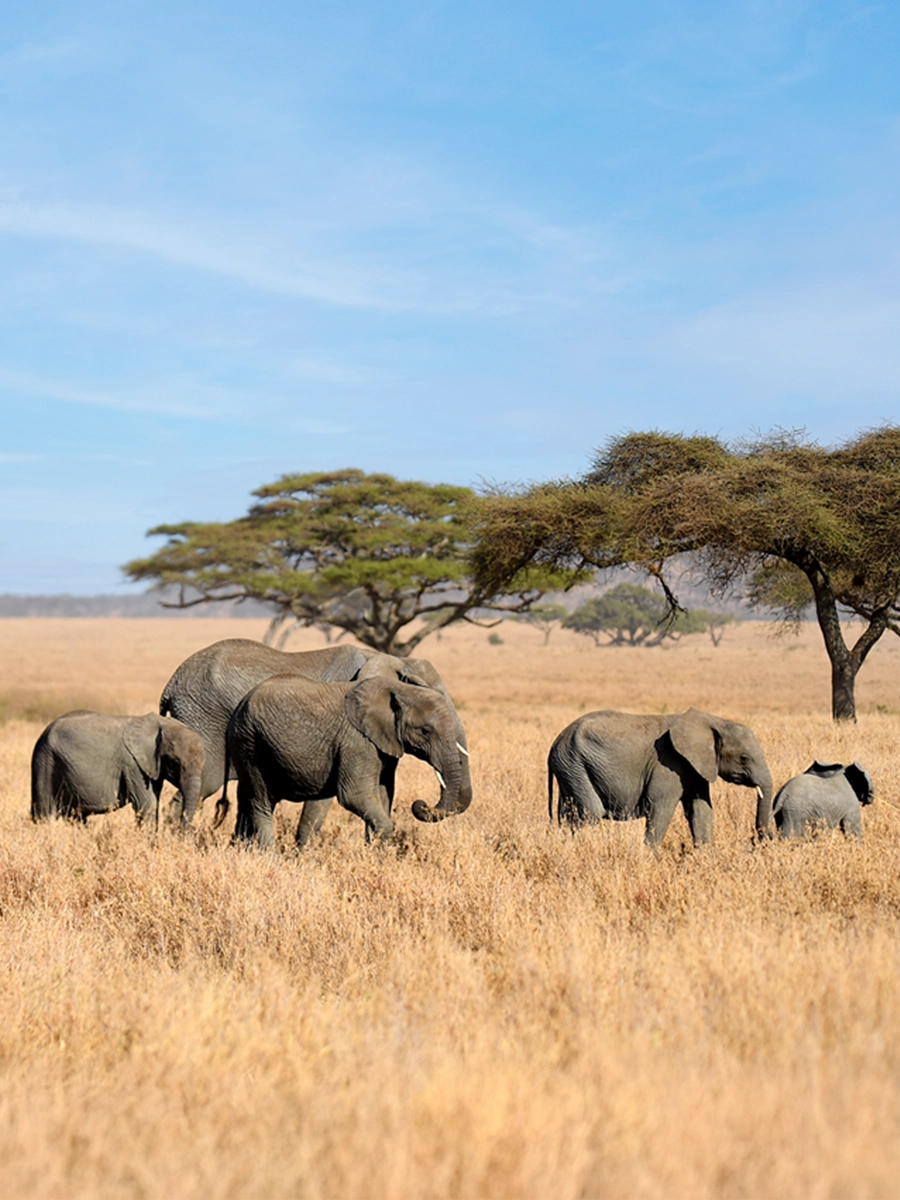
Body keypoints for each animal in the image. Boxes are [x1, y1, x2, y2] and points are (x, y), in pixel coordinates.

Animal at [31, 705, 206, 830]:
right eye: (175, 764)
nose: (182, 834)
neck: (162, 724)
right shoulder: (133, 764)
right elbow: (147, 804)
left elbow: (154, 802)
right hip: (45, 762)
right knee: (45, 813)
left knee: (76, 816)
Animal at [160, 638, 472, 835]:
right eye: (425, 730)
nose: (420, 805)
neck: (390, 659)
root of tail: (171, 684)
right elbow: (325, 801)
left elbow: (385, 792)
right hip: (203, 718)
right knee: (205, 783)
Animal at [549, 705, 777, 849]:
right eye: (744, 758)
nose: (763, 838)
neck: (715, 721)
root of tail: (555, 744)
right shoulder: (667, 764)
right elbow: (660, 807)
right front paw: (651, 858)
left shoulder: (695, 767)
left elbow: (700, 808)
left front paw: (705, 857)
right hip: (575, 765)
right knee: (591, 814)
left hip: (570, 769)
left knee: (567, 816)